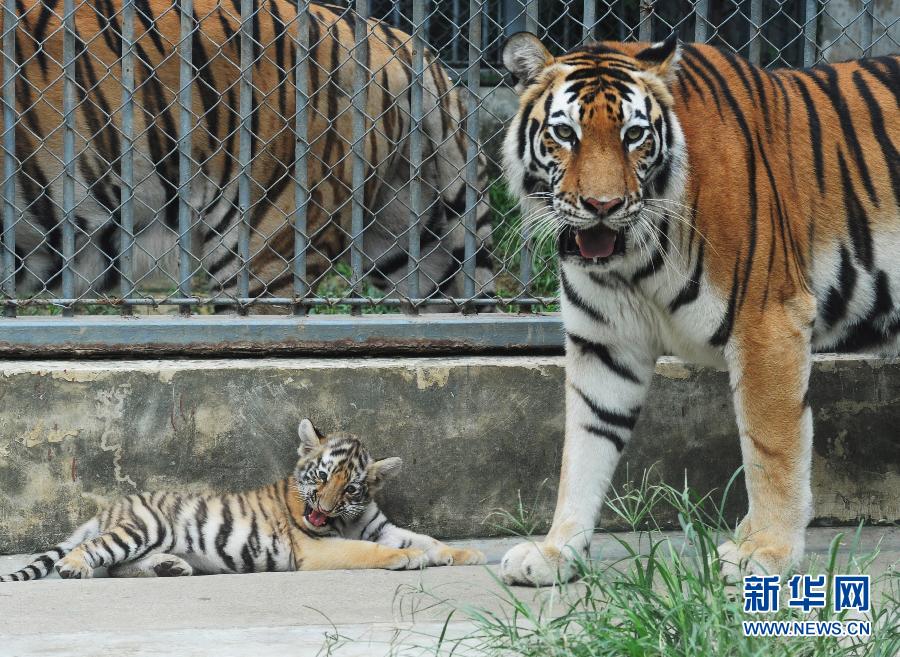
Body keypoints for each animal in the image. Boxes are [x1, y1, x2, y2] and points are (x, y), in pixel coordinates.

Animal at [0, 420, 486, 580]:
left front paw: (466, 554)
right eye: (322, 476)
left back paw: (171, 567)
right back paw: (74, 567)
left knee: (120, 567)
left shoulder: (379, 526)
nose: (322, 510)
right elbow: (366, 551)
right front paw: (405, 560)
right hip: (143, 527)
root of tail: (110, 508)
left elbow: (422, 538)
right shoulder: (314, 548)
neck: (344, 520)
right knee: (97, 552)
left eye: (350, 488)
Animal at [500, 32, 900, 584]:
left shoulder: (768, 322)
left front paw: (765, 553)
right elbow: (583, 448)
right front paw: (555, 552)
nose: (602, 206)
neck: (632, 260)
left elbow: (772, 447)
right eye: (565, 133)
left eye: (634, 135)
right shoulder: (603, 343)